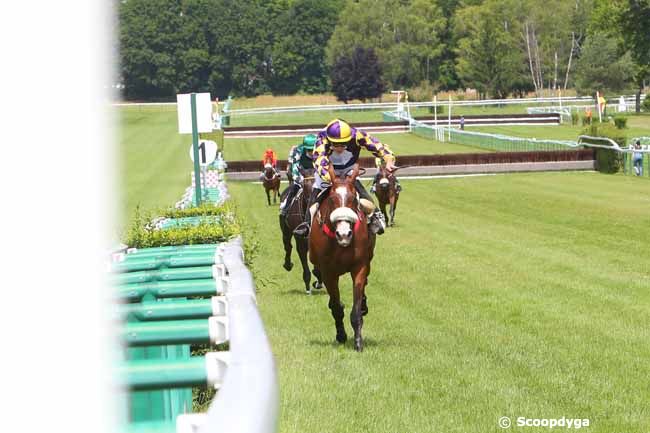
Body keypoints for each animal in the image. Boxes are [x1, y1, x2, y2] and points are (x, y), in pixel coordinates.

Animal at [308, 165, 374, 352]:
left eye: (352, 199)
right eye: (332, 199)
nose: (344, 234)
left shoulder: (359, 266)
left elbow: (356, 308)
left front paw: (358, 342)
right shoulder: (329, 272)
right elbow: (337, 307)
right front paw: (341, 335)